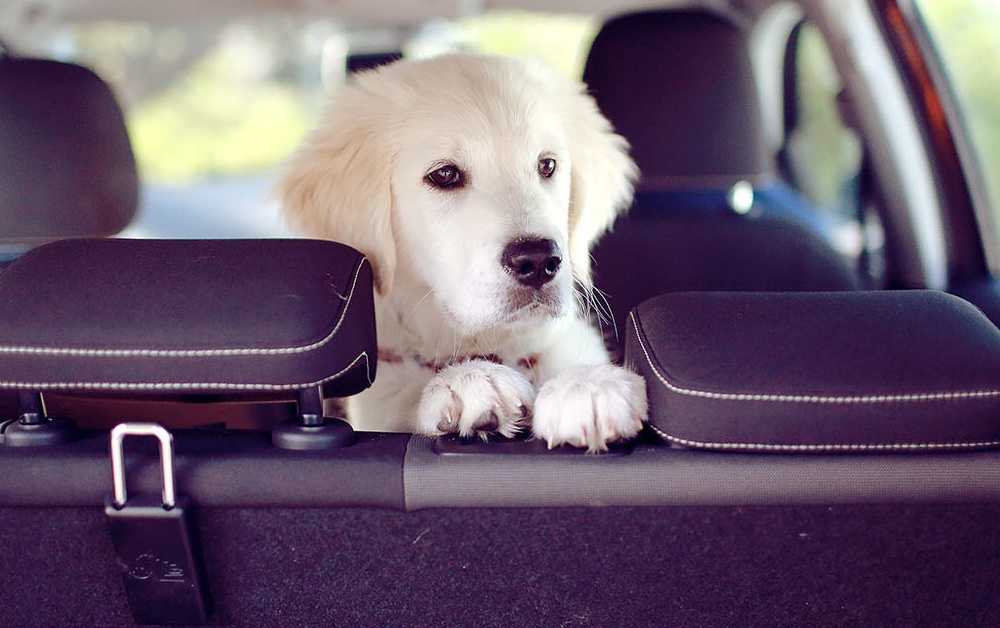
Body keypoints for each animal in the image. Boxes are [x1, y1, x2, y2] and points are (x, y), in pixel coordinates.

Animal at [276, 51, 648, 448]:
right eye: (444, 175)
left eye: (547, 165)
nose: (538, 260)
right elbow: (405, 399)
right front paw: (467, 379)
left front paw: (585, 382)